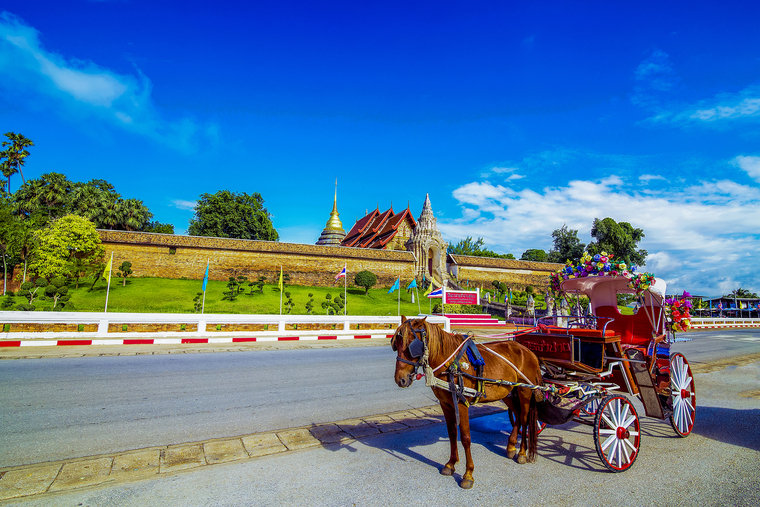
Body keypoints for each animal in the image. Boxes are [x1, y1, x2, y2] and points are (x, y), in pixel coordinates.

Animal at [392, 318, 548, 488]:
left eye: (411, 345)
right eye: (396, 345)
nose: (400, 380)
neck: (450, 363)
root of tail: (528, 351)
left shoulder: (461, 403)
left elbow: (466, 438)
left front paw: (468, 474)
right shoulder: (445, 404)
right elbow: (452, 434)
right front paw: (450, 464)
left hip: (524, 391)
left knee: (525, 419)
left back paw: (521, 453)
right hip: (507, 392)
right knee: (518, 416)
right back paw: (511, 446)